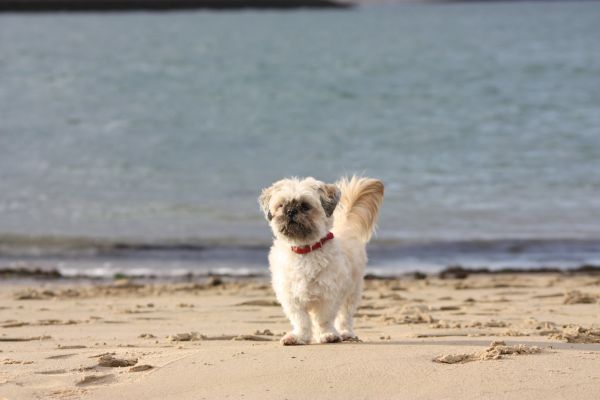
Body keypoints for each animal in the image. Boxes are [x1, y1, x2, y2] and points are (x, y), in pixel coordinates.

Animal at [258, 177, 384, 346]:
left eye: (305, 206)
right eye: (281, 205)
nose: (290, 211)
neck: (305, 250)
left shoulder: (328, 294)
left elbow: (323, 318)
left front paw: (327, 335)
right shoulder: (291, 296)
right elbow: (301, 320)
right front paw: (299, 337)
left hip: (352, 290)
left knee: (345, 315)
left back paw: (345, 332)